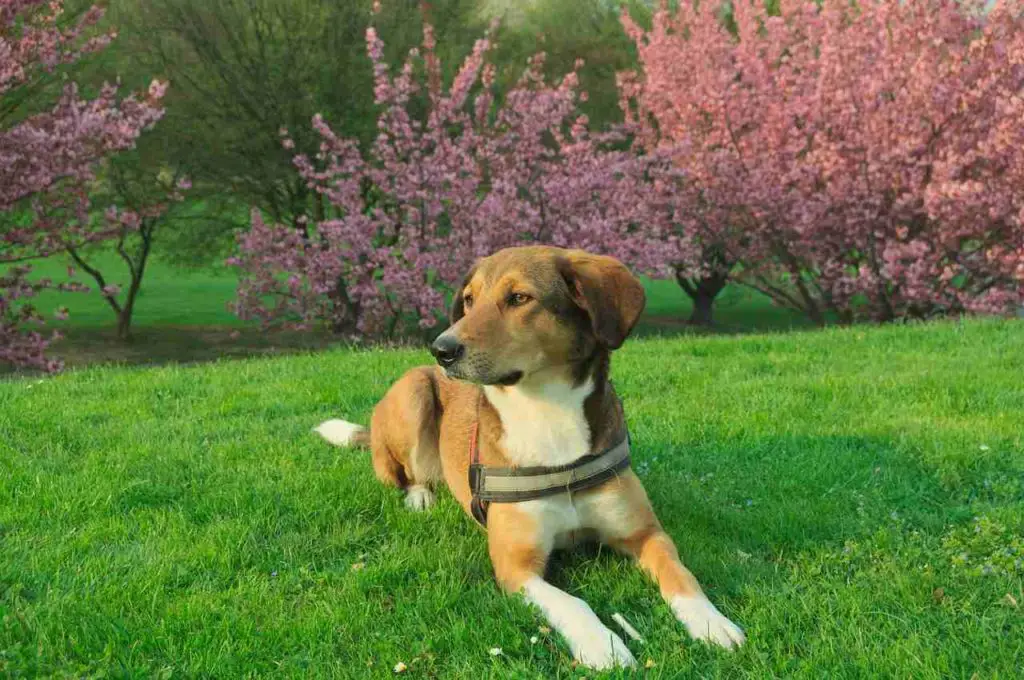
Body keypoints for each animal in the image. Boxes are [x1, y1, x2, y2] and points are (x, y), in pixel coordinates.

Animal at [313, 245, 745, 667]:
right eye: (468, 300)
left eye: (519, 298)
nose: (441, 349)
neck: (547, 413)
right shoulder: (516, 568)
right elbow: (573, 603)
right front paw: (602, 643)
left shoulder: (646, 534)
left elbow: (680, 573)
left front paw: (711, 621)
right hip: (413, 392)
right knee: (409, 473)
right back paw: (420, 496)